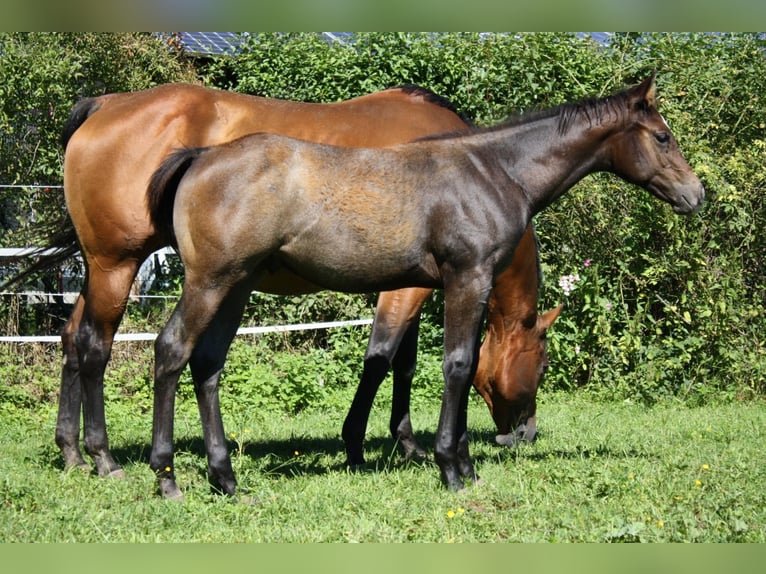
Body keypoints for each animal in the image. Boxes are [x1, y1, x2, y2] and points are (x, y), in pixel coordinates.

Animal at [10, 83, 557, 479]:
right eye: (541, 363)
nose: (526, 433)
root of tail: (106, 104)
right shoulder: (409, 289)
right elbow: (382, 360)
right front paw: (363, 443)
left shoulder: (416, 284)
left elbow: (403, 365)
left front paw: (405, 443)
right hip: (117, 265)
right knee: (95, 347)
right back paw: (103, 458)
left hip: (99, 270)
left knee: (71, 340)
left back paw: (72, 452)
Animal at [145, 75, 704, 499]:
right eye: (662, 137)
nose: (695, 194)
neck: (493, 171)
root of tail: (200, 157)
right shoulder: (466, 278)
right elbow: (454, 365)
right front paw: (449, 467)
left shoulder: (459, 286)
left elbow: (457, 364)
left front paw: (463, 465)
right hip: (210, 283)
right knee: (171, 350)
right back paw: (167, 477)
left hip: (237, 287)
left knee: (208, 364)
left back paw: (224, 478)